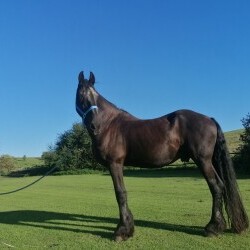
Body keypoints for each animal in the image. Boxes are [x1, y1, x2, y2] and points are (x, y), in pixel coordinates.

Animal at [75, 71, 249, 241]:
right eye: (81, 95)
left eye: (93, 96)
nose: (94, 126)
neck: (109, 125)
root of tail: (209, 119)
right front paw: (129, 227)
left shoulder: (115, 164)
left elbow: (120, 194)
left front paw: (122, 231)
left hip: (203, 161)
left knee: (216, 186)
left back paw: (213, 228)